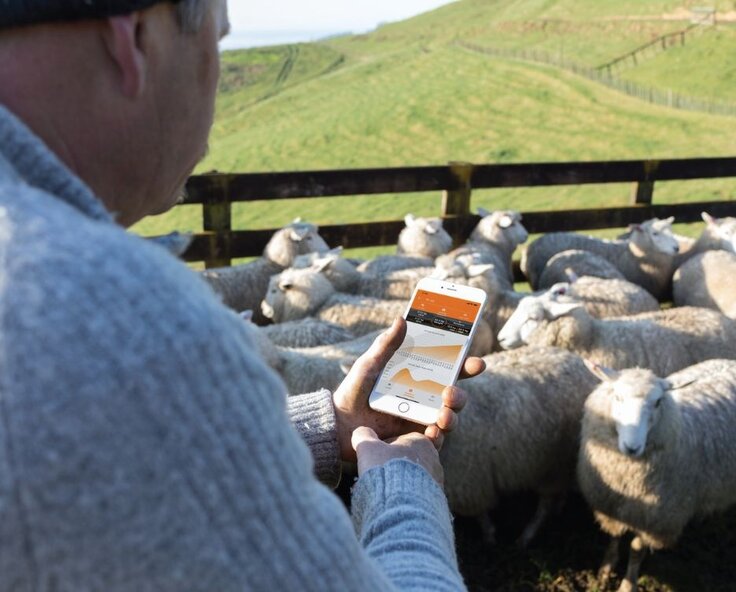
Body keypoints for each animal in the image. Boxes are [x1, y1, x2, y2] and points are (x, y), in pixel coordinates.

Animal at [441, 346, 599, 546]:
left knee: (545, 504)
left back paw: (526, 536)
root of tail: (580, 362)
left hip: (554, 463)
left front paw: (489, 536)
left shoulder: (469, 481)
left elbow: (481, 514)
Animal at [577, 359, 736, 592]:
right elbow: (615, 535)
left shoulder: (655, 519)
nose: (632, 447)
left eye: (658, 402)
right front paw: (606, 568)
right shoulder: (611, 504)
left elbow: (636, 550)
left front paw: (628, 584)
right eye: (617, 396)